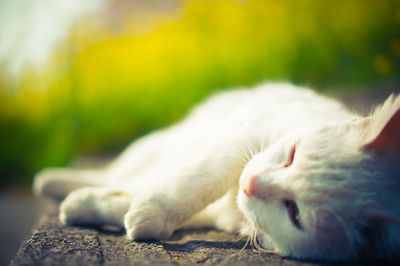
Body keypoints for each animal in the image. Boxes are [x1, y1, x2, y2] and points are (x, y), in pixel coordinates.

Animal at [33, 82, 400, 260]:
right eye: (292, 156)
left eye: (295, 214)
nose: (250, 184)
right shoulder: (237, 140)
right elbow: (197, 182)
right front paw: (147, 215)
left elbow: (136, 203)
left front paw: (107, 212)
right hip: (152, 147)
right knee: (113, 173)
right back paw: (50, 181)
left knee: (124, 181)